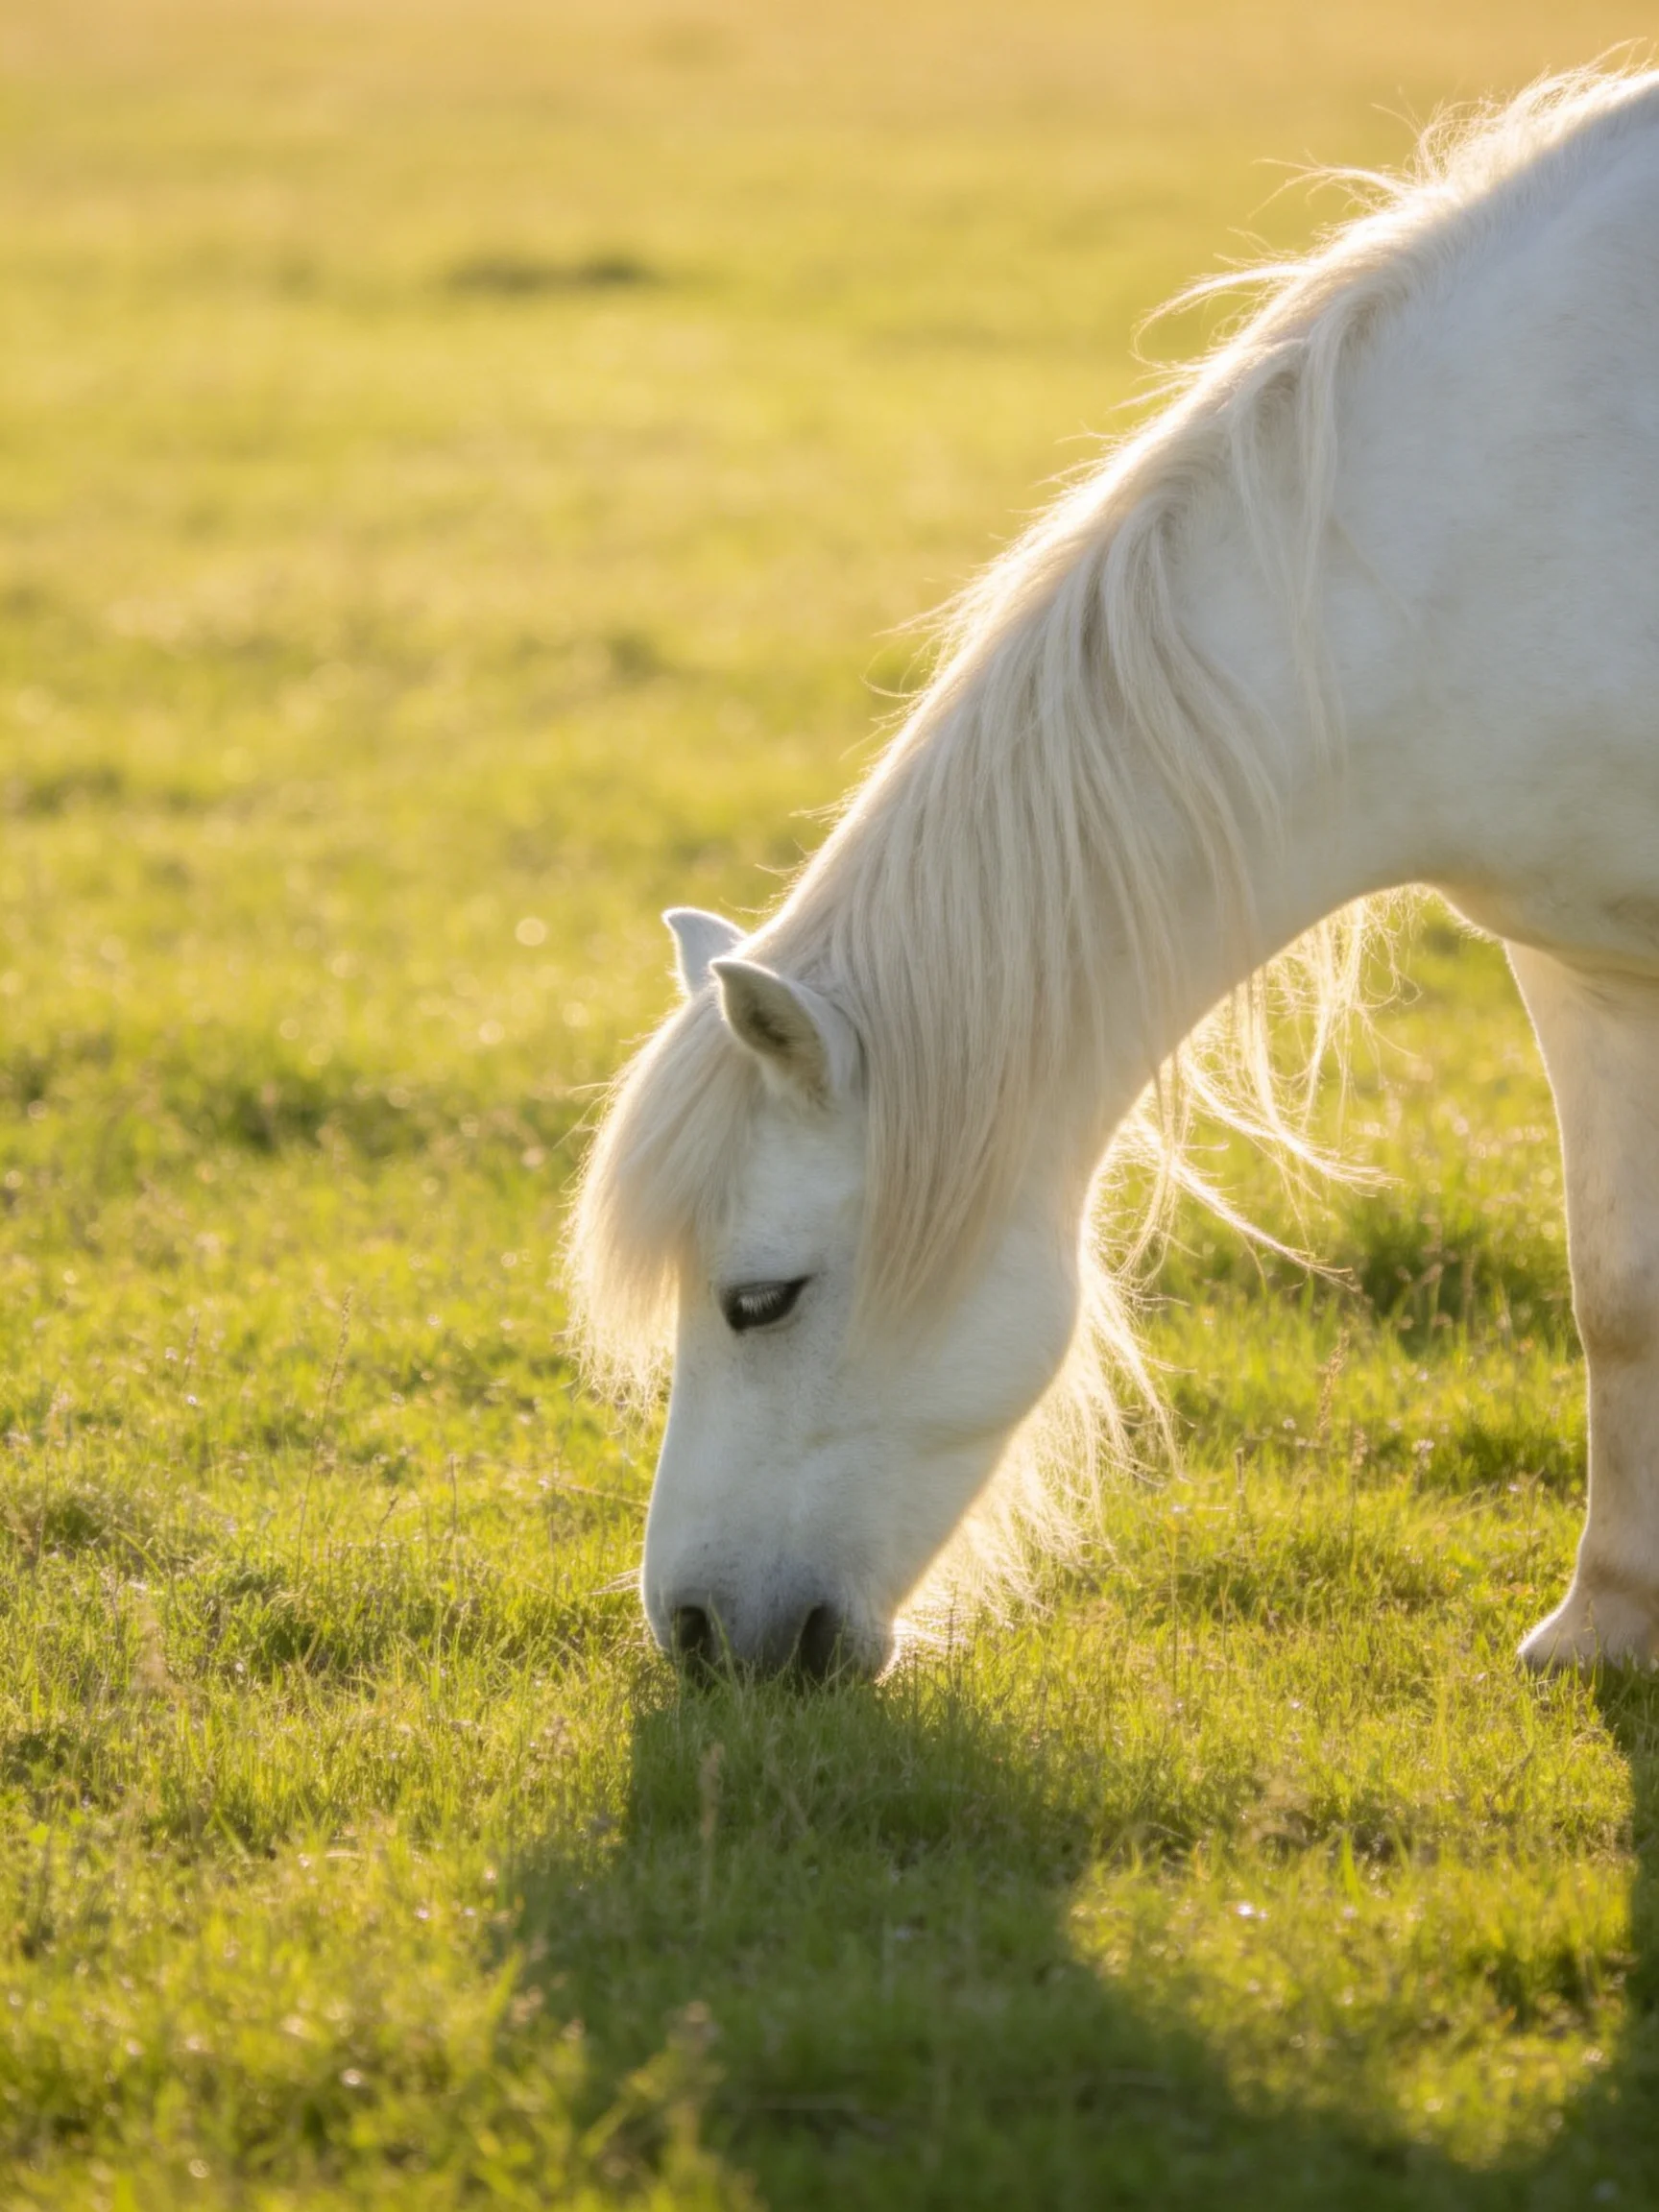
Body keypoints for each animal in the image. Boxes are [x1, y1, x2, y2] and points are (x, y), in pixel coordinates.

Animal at [571, 68, 1659, 1682]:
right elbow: (1617, 1288)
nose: (699, 1635)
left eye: (758, 1300)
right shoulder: (1586, 965)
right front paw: (1604, 1627)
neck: (1509, 511)